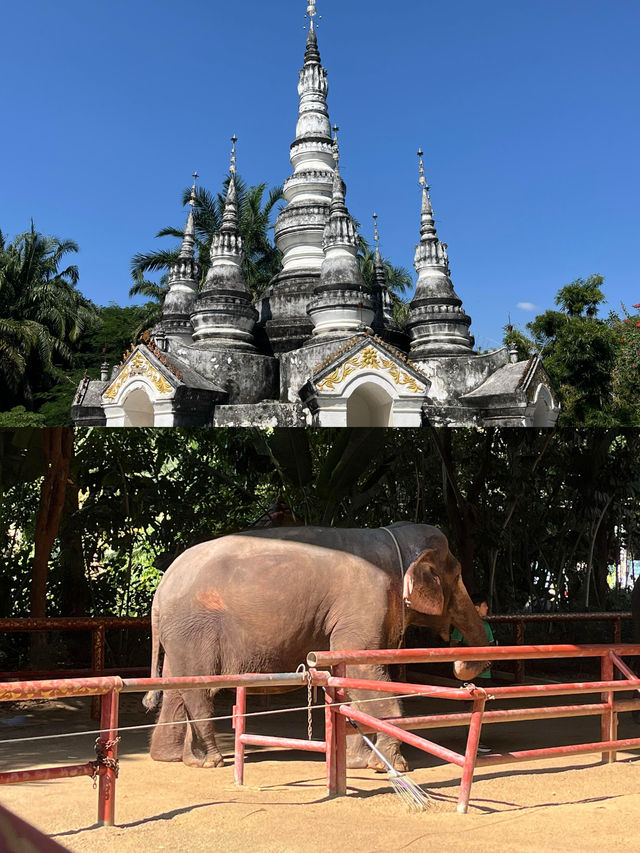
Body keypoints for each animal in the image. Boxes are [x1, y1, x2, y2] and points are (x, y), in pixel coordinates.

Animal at [144, 524, 490, 768]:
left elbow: (349, 679)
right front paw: (390, 766)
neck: (394, 540)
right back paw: (211, 761)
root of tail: (160, 590)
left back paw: (176, 758)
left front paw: (358, 763)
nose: (461, 666)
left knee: (176, 687)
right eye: (458, 575)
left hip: (179, 636)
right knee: (198, 688)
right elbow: (364, 670)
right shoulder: (366, 604)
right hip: (195, 629)